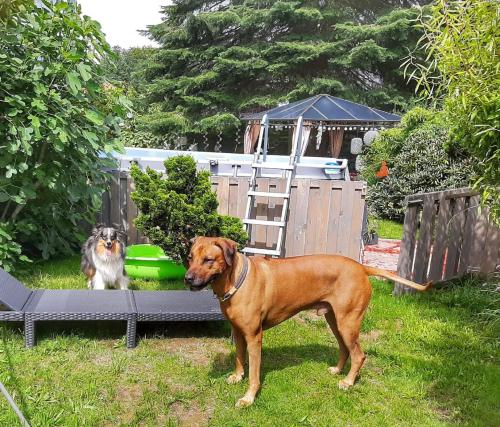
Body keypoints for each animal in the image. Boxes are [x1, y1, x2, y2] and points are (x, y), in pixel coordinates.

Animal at [184, 237, 430, 408]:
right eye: (190, 257)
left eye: (208, 260)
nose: (187, 278)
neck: (235, 280)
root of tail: (361, 267)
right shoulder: (238, 331)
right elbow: (238, 357)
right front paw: (237, 376)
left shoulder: (254, 336)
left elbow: (254, 374)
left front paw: (249, 397)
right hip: (335, 320)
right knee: (344, 348)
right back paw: (338, 370)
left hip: (348, 322)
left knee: (359, 355)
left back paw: (348, 382)